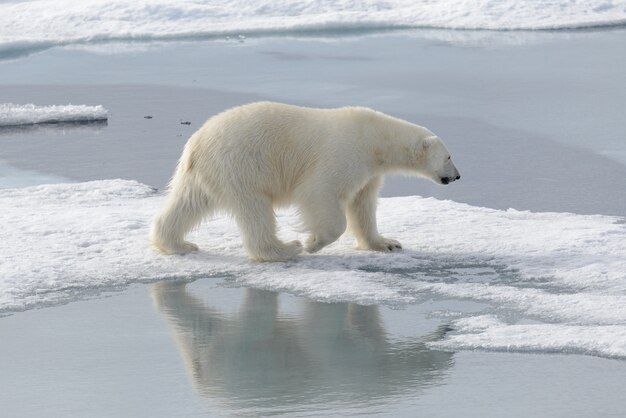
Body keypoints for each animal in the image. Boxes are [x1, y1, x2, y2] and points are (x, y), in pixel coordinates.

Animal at [147, 102, 458, 262]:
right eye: (449, 156)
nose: (457, 176)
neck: (374, 140)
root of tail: (197, 143)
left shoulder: (369, 172)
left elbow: (363, 205)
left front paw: (388, 243)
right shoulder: (343, 154)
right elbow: (320, 193)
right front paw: (312, 243)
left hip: (205, 173)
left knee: (188, 203)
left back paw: (179, 244)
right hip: (241, 165)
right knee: (254, 210)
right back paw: (285, 249)